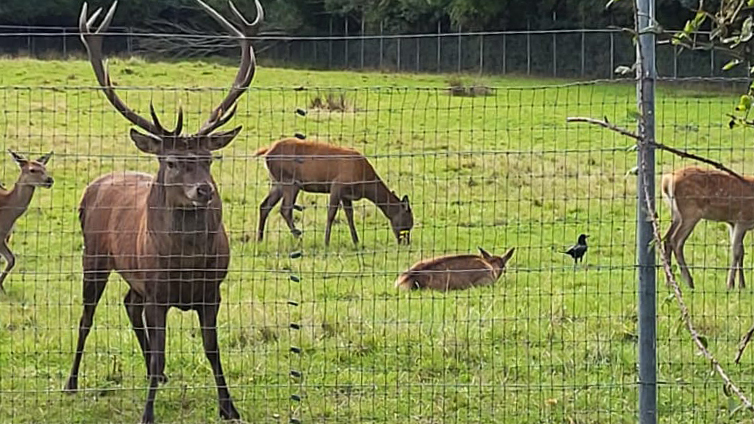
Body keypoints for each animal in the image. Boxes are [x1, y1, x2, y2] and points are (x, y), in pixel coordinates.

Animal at [0, 150, 54, 293]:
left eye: (45, 167)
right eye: (32, 170)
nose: (49, 180)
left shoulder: (5, 236)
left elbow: (11, 259)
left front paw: (2, 288)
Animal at [64, 1, 262, 423]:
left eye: (208, 159)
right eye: (172, 162)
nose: (204, 190)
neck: (185, 263)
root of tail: (95, 184)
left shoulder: (212, 291)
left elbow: (212, 350)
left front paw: (229, 407)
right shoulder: (157, 291)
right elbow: (159, 353)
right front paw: (147, 413)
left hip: (132, 276)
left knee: (128, 304)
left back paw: (161, 377)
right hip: (94, 256)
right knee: (87, 318)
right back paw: (71, 383)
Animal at [255, 138, 413, 246]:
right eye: (408, 222)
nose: (405, 242)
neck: (364, 183)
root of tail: (267, 153)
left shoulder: (346, 194)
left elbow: (349, 215)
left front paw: (356, 241)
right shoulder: (337, 185)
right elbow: (331, 214)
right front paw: (326, 242)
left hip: (277, 182)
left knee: (264, 205)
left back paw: (260, 239)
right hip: (289, 181)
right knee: (285, 209)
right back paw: (298, 236)